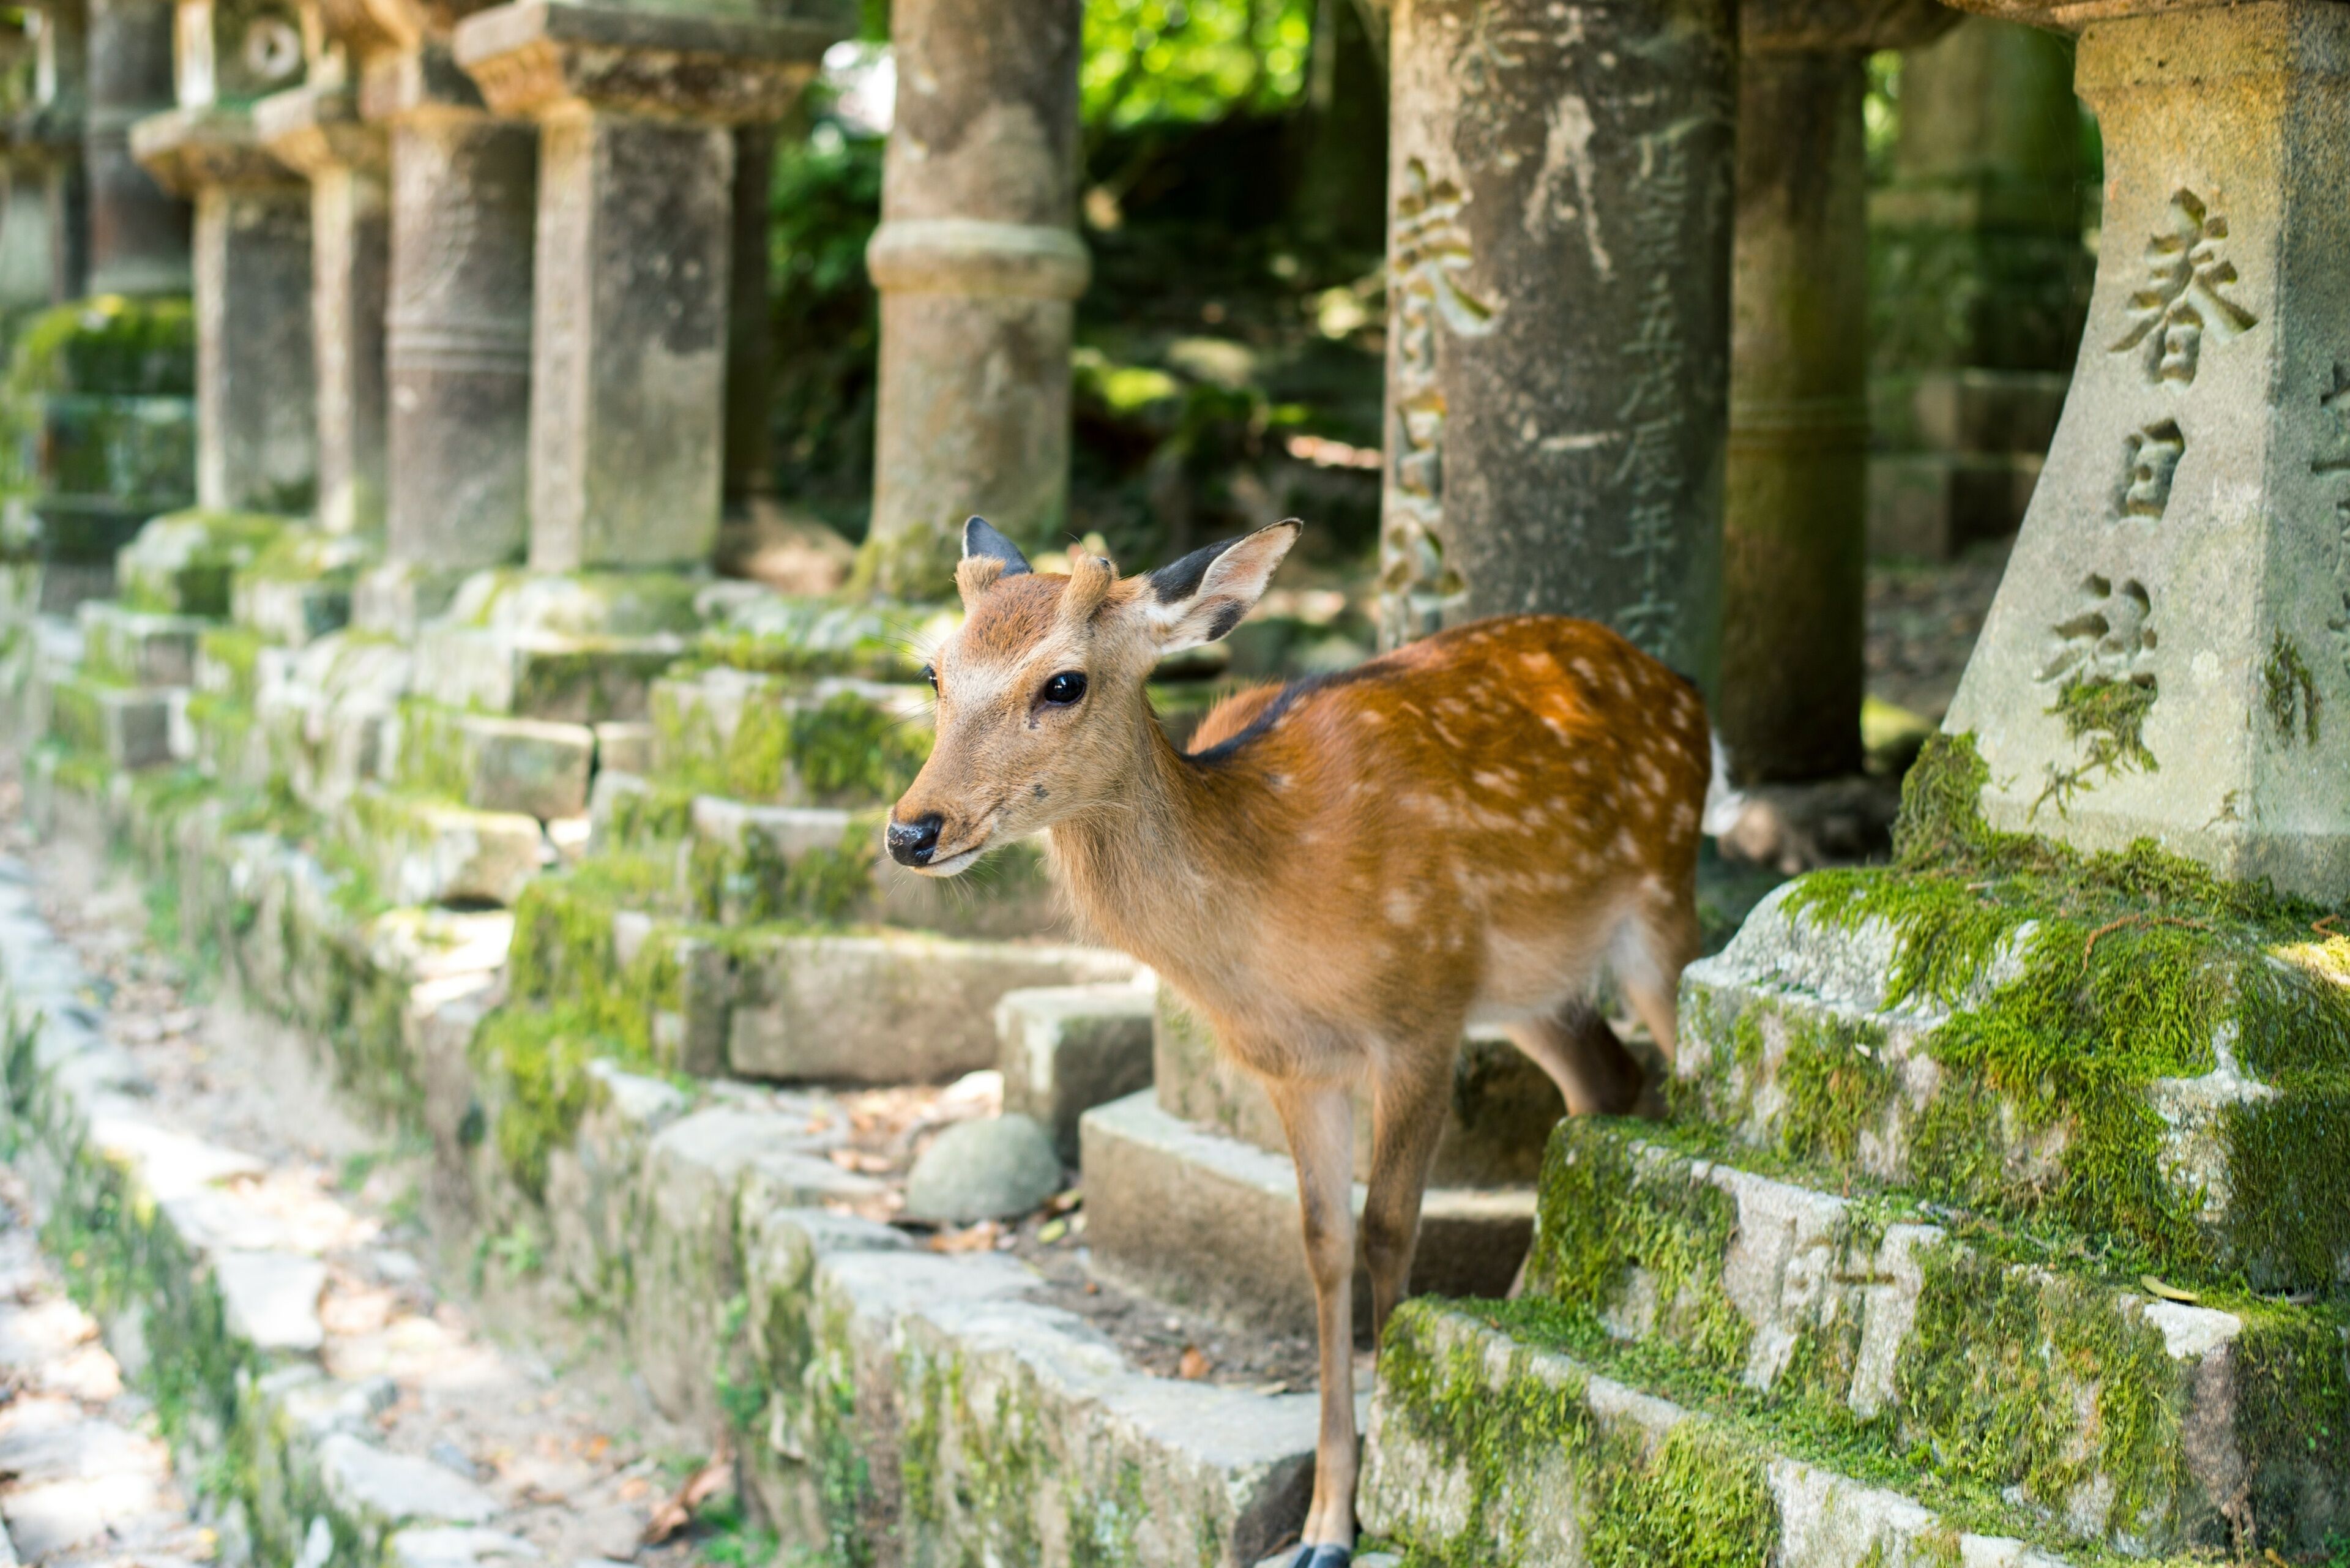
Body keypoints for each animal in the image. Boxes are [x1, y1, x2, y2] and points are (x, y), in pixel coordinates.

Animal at [886, 516, 1716, 1567]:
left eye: (1063, 682)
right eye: (934, 670)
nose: (911, 829)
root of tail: (1685, 687)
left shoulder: (1419, 1015)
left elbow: (1392, 1228)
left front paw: (1401, 1454)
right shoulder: (1292, 1064)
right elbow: (1323, 1242)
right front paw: (1327, 1519)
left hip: (1658, 905)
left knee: (1679, 1068)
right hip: (1529, 984)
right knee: (1608, 1081)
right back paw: (1524, 1303)